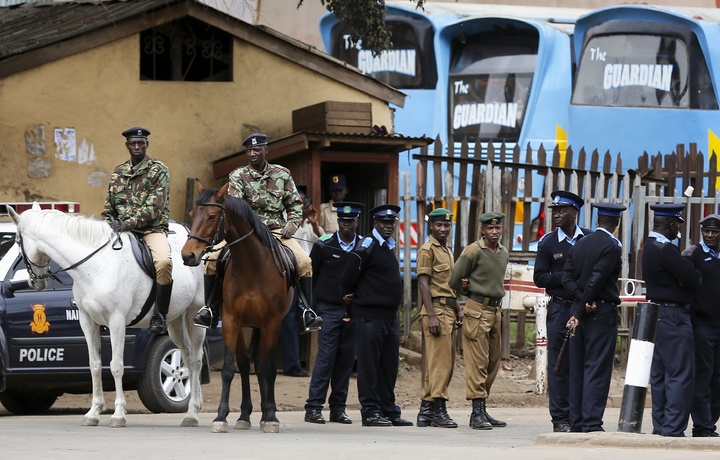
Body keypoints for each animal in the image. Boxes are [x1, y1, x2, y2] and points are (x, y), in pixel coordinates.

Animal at [9, 206, 205, 428]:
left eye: (17, 240)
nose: (35, 283)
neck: (95, 265)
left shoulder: (117, 322)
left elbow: (116, 366)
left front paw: (118, 415)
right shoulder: (88, 322)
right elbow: (95, 365)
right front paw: (93, 413)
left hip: (194, 315)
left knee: (196, 361)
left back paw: (192, 414)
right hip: (175, 322)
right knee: (188, 358)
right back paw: (194, 407)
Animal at [181, 181, 292, 434]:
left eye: (212, 216)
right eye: (192, 214)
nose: (188, 255)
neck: (252, 266)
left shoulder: (272, 322)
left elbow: (268, 368)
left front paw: (271, 416)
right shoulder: (232, 320)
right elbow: (231, 368)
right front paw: (221, 417)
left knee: (262, 365)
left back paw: (266, 414)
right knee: (245, 363)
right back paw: (244, 415)